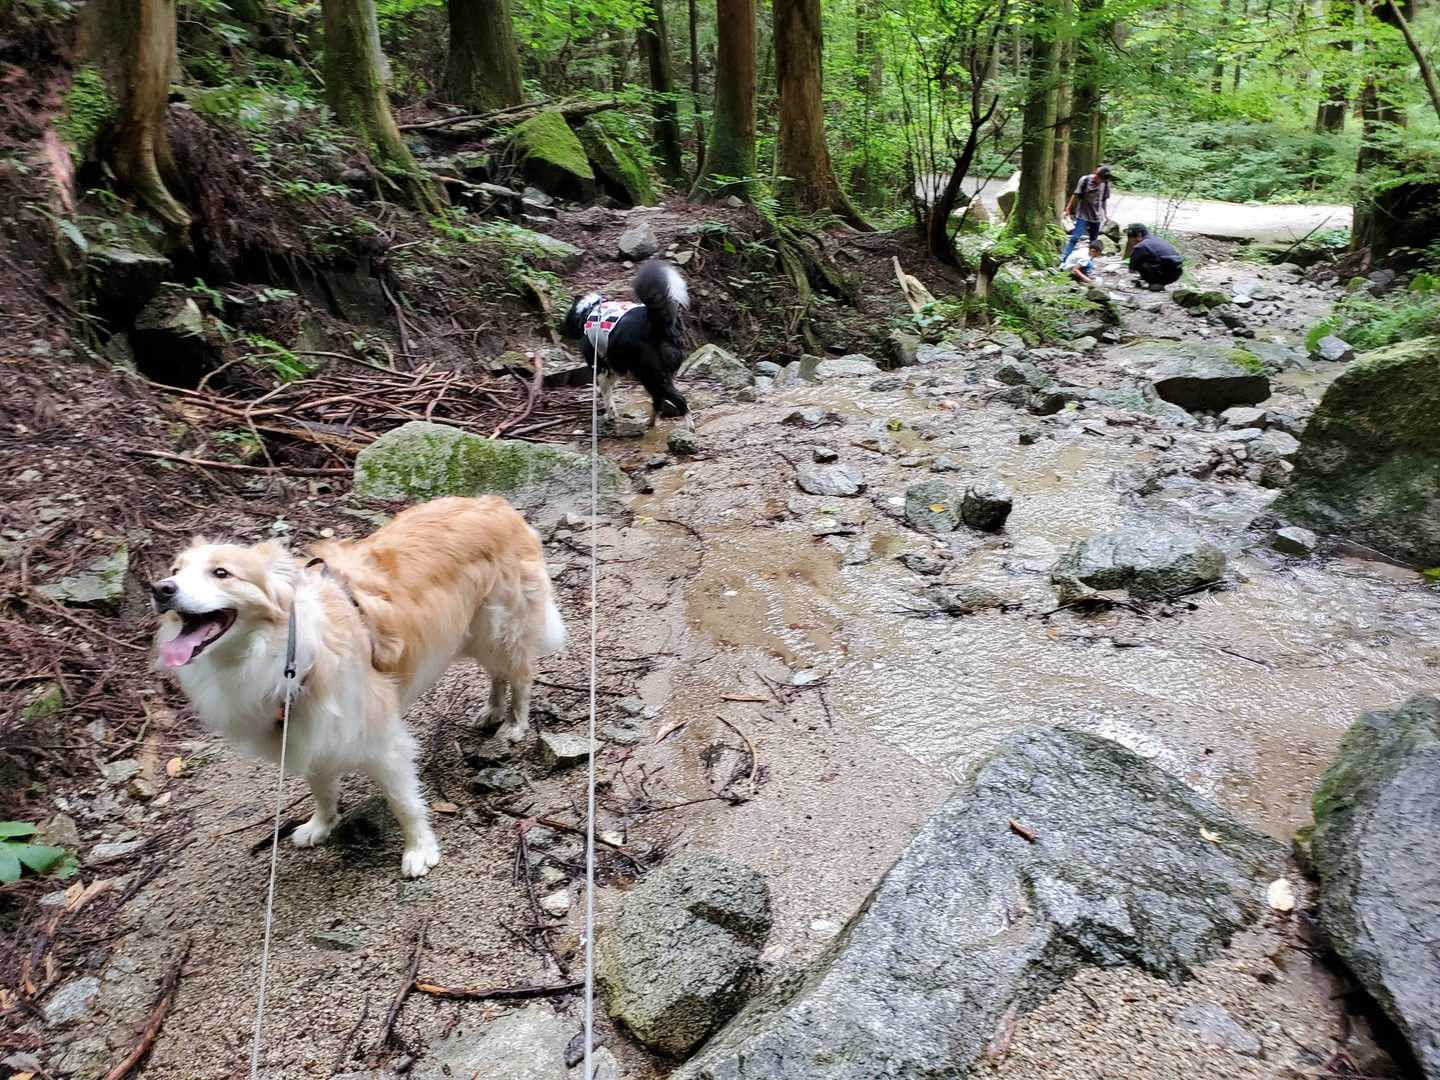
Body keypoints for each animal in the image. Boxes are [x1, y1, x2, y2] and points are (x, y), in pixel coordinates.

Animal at [151, 496, 566, 878]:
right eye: (175, 570)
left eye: (222, 573)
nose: (160, 589)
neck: (285, 652)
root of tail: (496, 503)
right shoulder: (305, 731)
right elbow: (321, 786)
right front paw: (321, 825)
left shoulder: (379, 737)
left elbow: (403, 801)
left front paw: (419, 849)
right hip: (474, 634)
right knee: (498, 673)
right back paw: (492, 710)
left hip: (500, 628)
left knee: (520, 675)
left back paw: (514, 724)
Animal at [561, 259, 690, 426]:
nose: (562, 330)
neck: (588, 311)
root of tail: (656, 323)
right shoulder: (615, 363)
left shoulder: (601, 365)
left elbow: (607, 395)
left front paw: (610, 414)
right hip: (652, 375)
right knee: (658, 399)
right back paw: (650, 422)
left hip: (651, 375)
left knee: (679, 400)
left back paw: (688, 427)